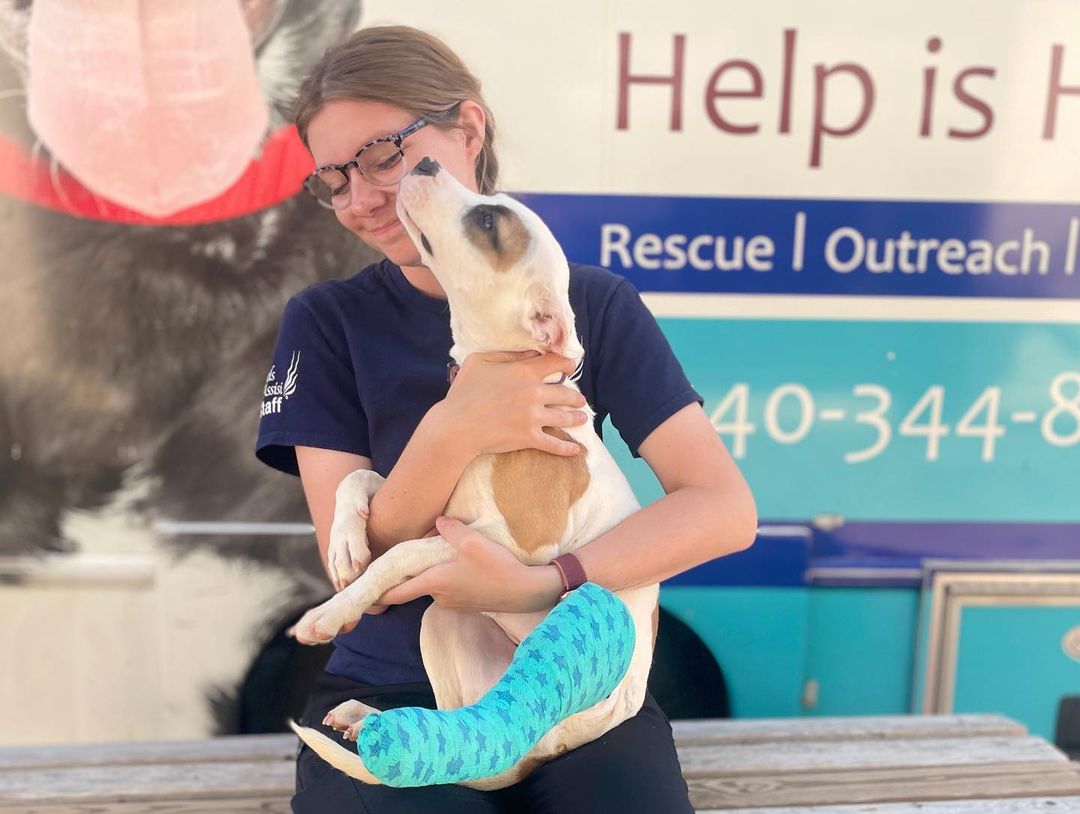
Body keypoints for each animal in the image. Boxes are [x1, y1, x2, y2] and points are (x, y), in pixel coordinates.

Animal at [287, 155, 656, 781]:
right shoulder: (427, 496)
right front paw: (345, 547)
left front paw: (332, 612)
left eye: (487, 221)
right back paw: (368, 719)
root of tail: (536, 748)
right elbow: (358, 481)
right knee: (453, 718)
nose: (426, 160)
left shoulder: (513, 547)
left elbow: (401, 555)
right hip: (444, 622)